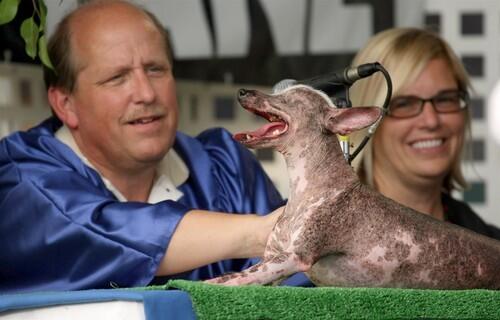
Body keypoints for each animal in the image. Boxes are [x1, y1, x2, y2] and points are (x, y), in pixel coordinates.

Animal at [206, 85, 500, 290]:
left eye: (288, 98)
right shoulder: (273, 259)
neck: (305, 191)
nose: (242, 91)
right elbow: (252, 275)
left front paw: (212, 282)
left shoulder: (295, 256)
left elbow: (240, 275)